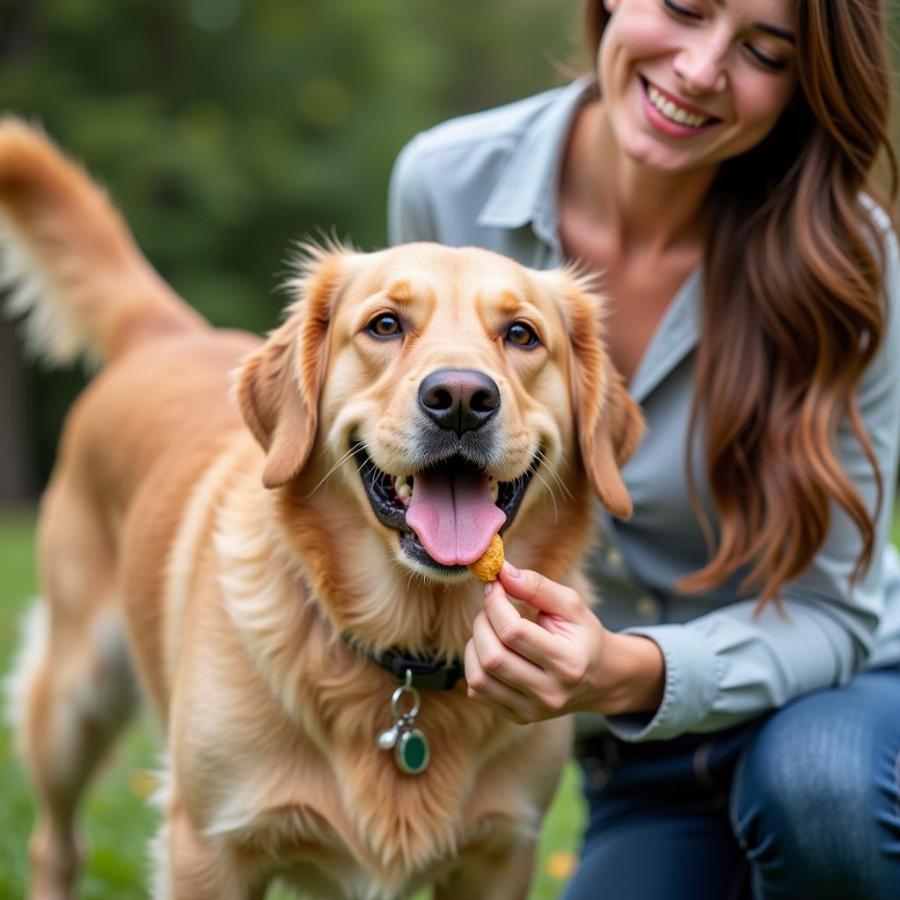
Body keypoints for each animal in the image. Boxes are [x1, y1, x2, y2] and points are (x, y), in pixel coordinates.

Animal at [3, 121, 644, 900]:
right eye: (385, 325)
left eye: (521, 335)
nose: (461, 398)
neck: (409, 654)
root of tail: (167, 333)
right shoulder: (208, 847)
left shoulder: (501, 854)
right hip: (74, 700)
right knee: (55, 843)